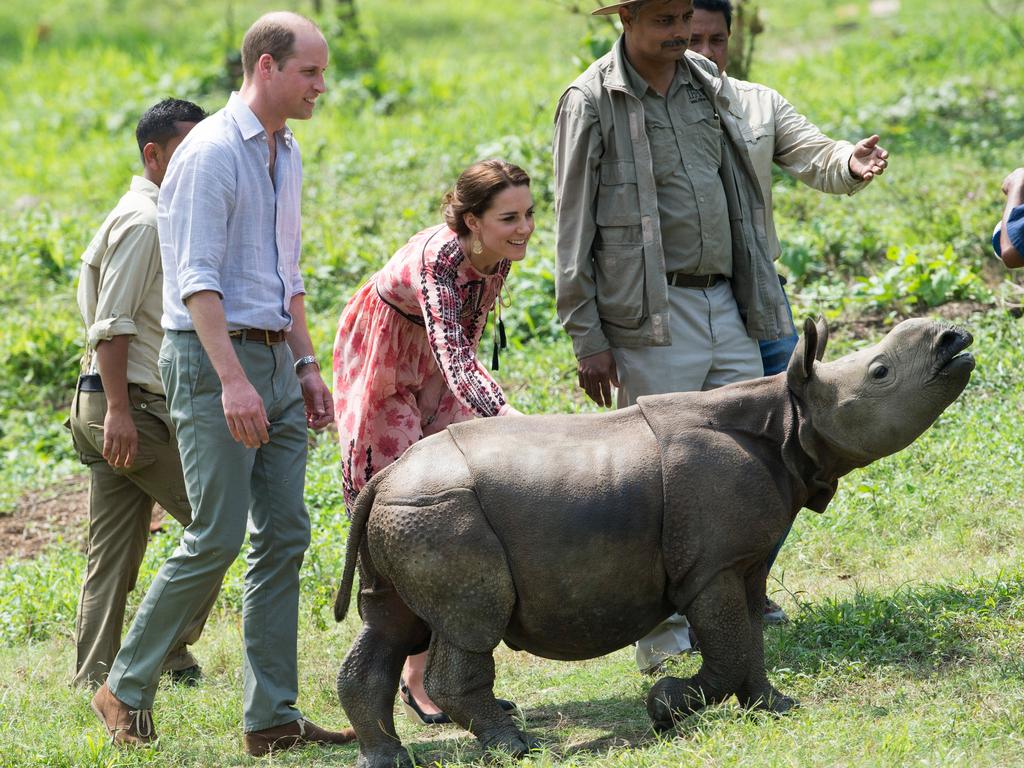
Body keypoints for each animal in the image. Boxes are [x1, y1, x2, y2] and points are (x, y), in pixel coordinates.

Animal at [337, 319, 974, 768]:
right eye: (881, 372)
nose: (956, 339)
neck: (790, 416)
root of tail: (381, 479)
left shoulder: (739, 561)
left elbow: (749, 639)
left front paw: (776, 708)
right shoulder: (711, 565)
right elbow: (729, 648)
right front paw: (666, 707)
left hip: (408, 515)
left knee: (391, 626)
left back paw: (387, 758)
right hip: (443, 514)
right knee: (469, 623)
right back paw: (516, 747)